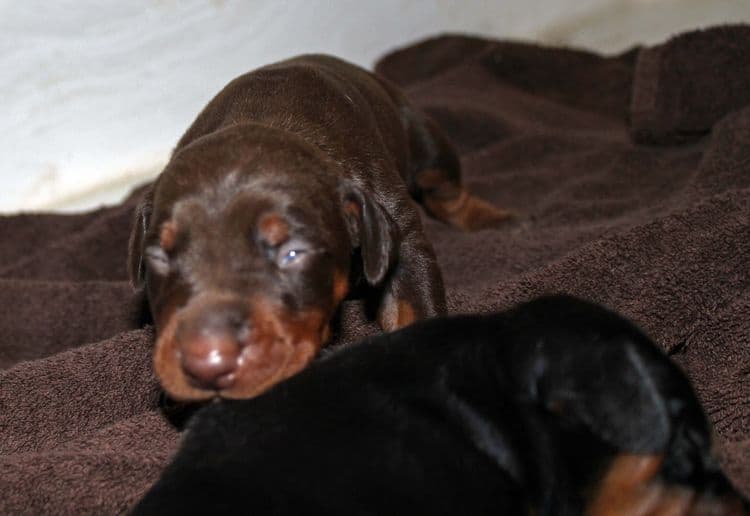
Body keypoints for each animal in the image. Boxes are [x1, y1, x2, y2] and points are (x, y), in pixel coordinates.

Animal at [131, 54, 516, 402]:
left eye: (292, 253)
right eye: (159, 257)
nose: (207, 366)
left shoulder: (402, 237)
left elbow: (414, 305)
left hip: (425, 140)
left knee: (445, 191)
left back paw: (496, 220)